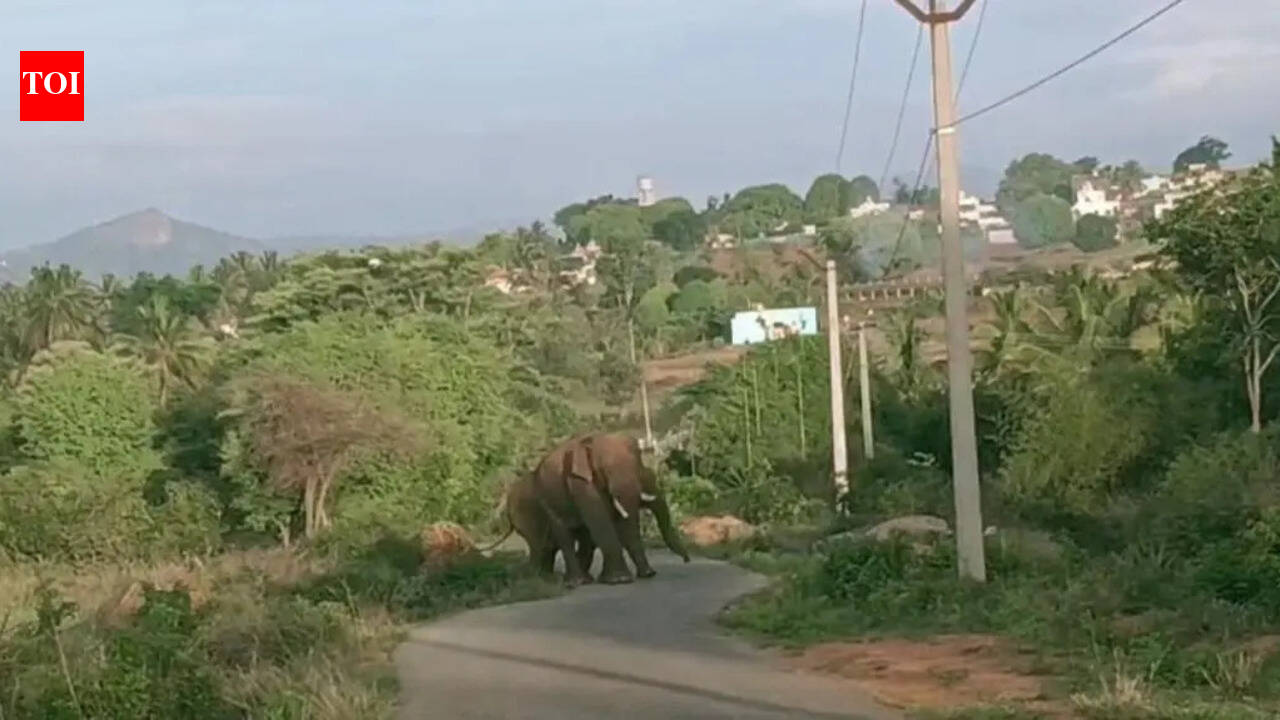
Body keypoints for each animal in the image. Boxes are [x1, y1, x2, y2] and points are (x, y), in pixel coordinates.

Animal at [489, 432, 689, 585]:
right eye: (604, 471)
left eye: (637, 467)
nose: (687, 560)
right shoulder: (580, 482)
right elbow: (602, 522)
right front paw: (620, 580)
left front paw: (646, 575)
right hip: (539, 507)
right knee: (557, 539)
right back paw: (563, 581)